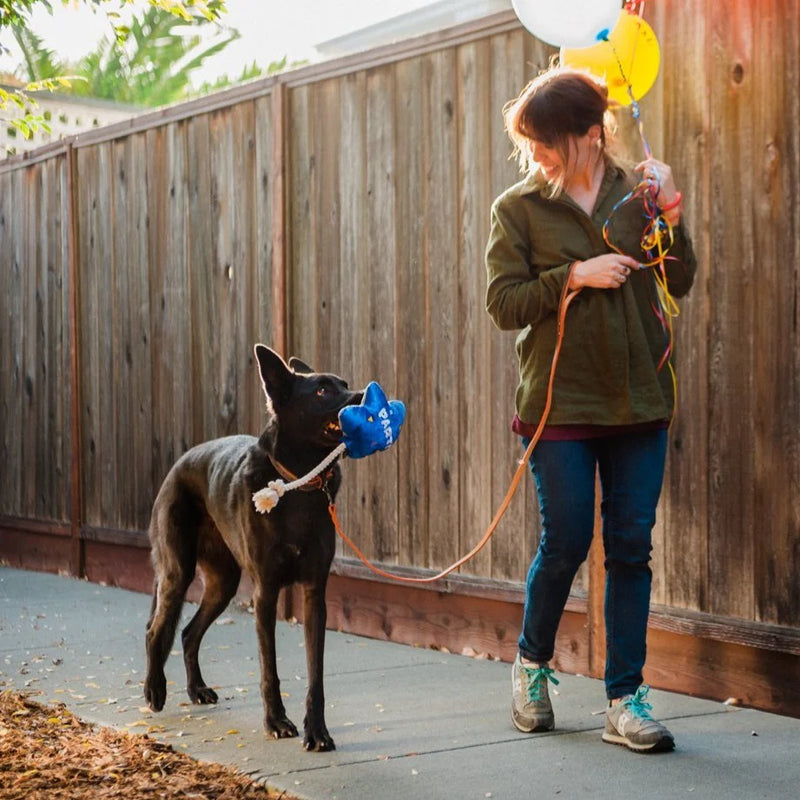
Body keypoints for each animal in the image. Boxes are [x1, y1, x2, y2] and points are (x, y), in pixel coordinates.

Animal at [144, 344, 362, 752]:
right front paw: (276, 722)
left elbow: (316, 674)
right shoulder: (265, 594)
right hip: (177, 574)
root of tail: (176, 467)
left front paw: (316, 730)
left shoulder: (315, 596)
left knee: (188, 633)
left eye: (343, 383)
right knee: (155, 630)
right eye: (323, 390)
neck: (298, 485)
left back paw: (197, 689)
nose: (365, 395)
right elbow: (269, 668)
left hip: (223, 584)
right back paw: (154, 690)